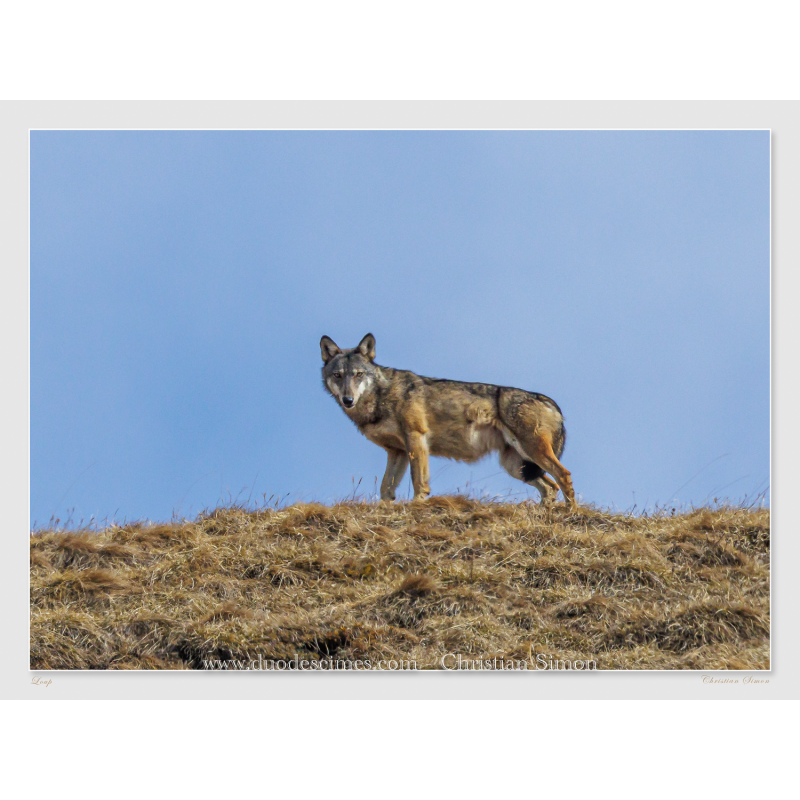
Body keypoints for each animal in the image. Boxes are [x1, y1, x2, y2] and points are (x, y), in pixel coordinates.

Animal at [320, 333, 576, 507]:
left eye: (358, 375)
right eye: (338, 375)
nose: (348, 400)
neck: (381, 396)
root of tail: (549, 401)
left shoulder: (416, 438)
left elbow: (418, 481)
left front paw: (417, 505)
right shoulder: (396, 451)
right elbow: (385, 489)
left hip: (532, 454)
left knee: (563, 476)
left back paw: (570, 512)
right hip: (517, 466)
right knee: (550, 487)